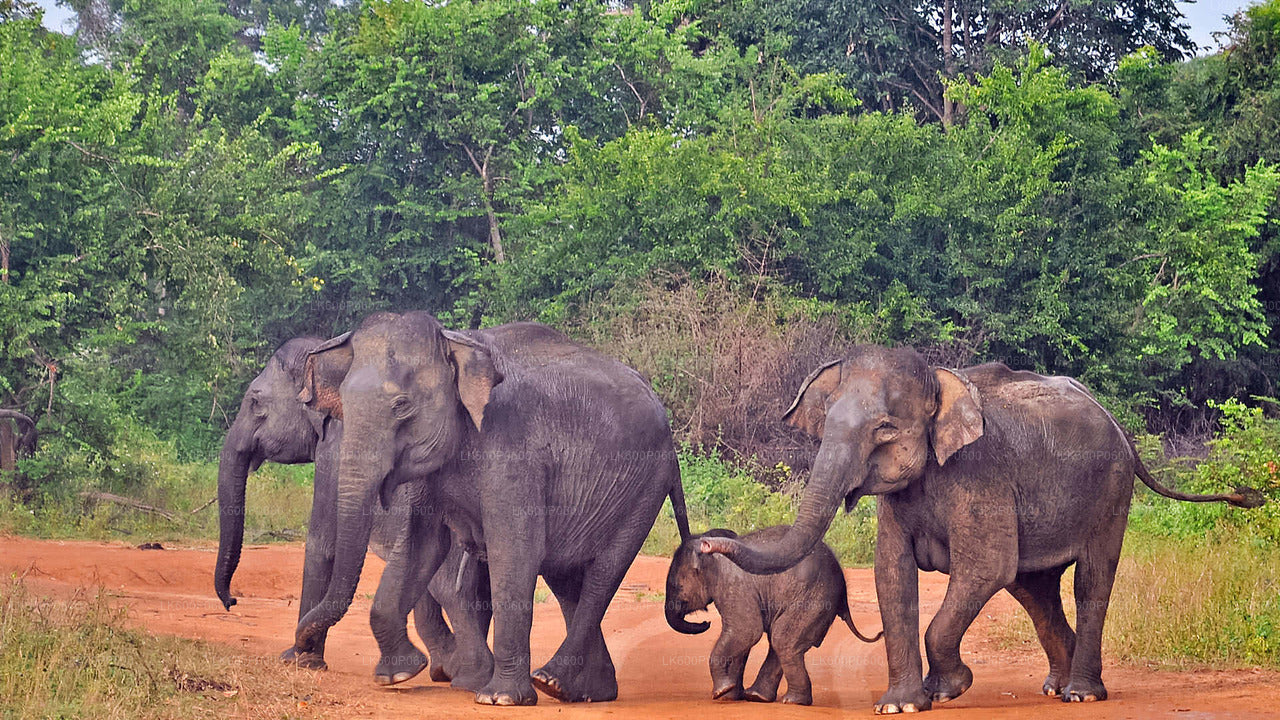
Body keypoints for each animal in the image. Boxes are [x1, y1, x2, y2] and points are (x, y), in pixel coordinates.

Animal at [212, 333, 491, 686]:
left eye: (255, 403)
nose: (232, 601)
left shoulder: (334, 450)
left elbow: (321, 544)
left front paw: (298, 660)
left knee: (451, 590)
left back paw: (463, 676)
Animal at [293, 311, 691, 702]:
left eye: (401, 406)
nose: (300, 653)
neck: (454, 342)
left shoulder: (513, 446)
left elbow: (513, 551)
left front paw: (499, 698)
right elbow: (422, 548)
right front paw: (397, 675)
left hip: (644, 487)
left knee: (602, 575)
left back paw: (551, 680)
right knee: (565, 576)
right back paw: (581, 691)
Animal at [660, 520, 880, 702]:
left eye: (675, 586)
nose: (705, 623)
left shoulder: (733, 584)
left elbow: (746, 630)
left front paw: (720, 692)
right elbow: (742, 637)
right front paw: (729, 695)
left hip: (813, 598)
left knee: (783, 640)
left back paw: (791, 701)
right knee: (780, 641)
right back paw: (758, 697)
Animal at [701, 345, 1259, 712]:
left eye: (885, 430)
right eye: (824, 424)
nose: (707, 543)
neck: (939, 379)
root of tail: (1117, 421)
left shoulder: (980, 474)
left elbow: (985, 568)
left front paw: (948, 689)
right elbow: (892, 576)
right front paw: (900, 705)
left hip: (1111, 491)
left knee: (1089, 580)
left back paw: (1081, 694)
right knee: (1034, 590)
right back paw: (1054, 687)